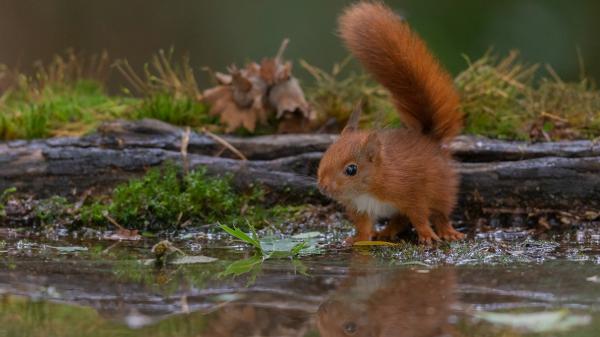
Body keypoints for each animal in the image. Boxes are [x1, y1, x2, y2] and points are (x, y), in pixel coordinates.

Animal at [318, 2, 464, 244]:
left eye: (351, 169)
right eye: (325, 155)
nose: (323, 186)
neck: (370, 186)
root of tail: (428, 138)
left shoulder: (412, 193)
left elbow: (420, 216)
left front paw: (427, 236)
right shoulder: (360, 208)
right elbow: (363, 225)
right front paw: (358, 239)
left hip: (442, 190)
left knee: (439, 213)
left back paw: (447, 231)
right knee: (399, 220)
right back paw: (385, 232)